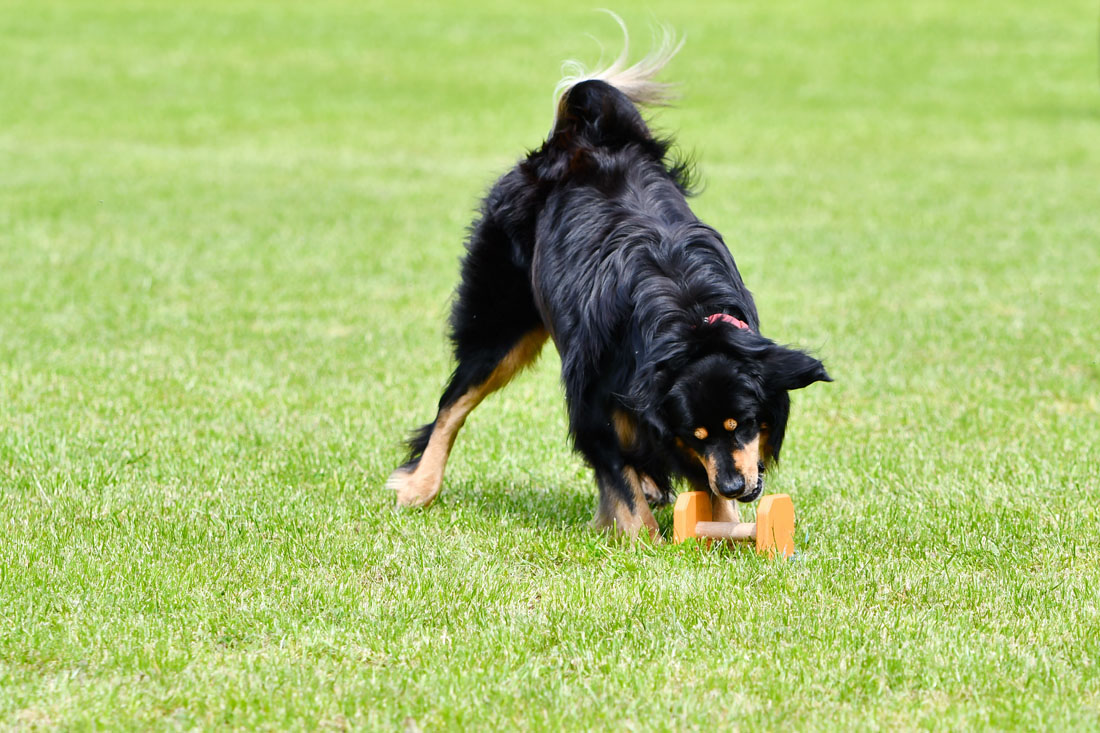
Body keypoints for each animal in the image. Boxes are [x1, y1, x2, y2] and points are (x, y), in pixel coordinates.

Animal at [391, 27, 827, 537]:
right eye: (697, 432)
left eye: (744, 422)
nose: (738, 486)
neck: (687, 321)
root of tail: (577, 141)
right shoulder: (595, 405)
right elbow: (625, 491)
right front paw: (646, 539)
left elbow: (701, 494)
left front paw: (719, 520)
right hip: (499, 323)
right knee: (453, 402)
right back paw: (421, 485)